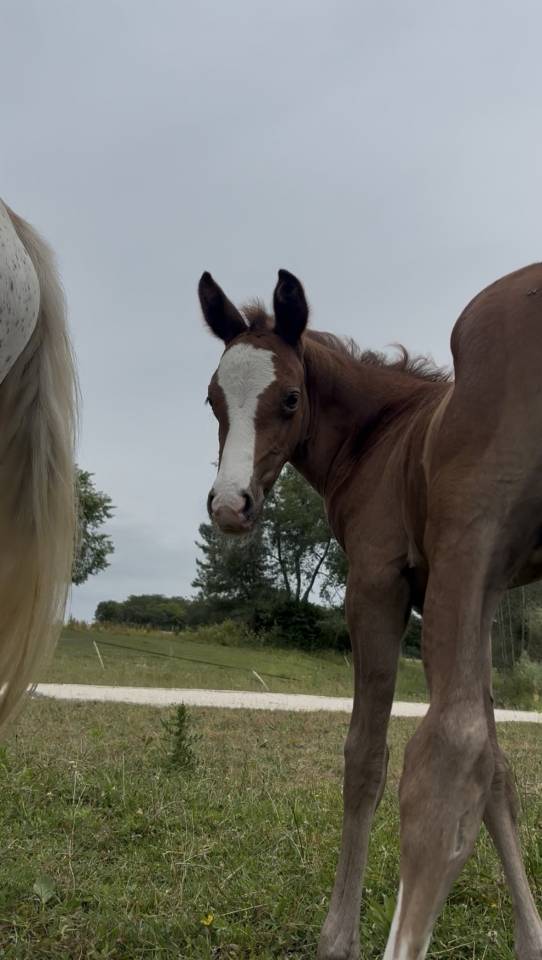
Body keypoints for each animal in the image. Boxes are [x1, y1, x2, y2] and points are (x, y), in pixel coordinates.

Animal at [198, 266, 542, 960]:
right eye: (213, 401)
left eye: (290, 399)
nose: (229, 505)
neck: (384, 436)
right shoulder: (479, 595)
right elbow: (499, 772)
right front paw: (532, 939)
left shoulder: (381, 581)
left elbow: (367, 757)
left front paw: (338, 937)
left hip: (471, 534)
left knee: (446, 748)